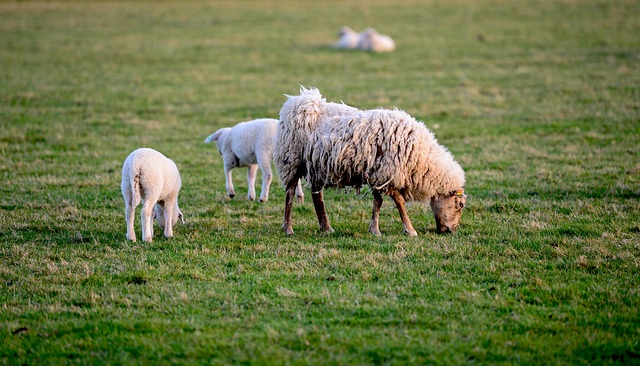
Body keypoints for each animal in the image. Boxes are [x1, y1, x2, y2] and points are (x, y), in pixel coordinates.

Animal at [274, 88, 464, 237]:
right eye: (460, 205)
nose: (451, 231)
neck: (422, 159)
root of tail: (299, 101)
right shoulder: (387, 173)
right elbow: (399, 201)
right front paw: (410, 230)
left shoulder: (379, 174)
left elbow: (378, 202)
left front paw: (374, 229)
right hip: (291, 159)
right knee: (290, 192)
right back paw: (288, 228)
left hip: (317, 164)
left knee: (316, 194)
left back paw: (326, 227)